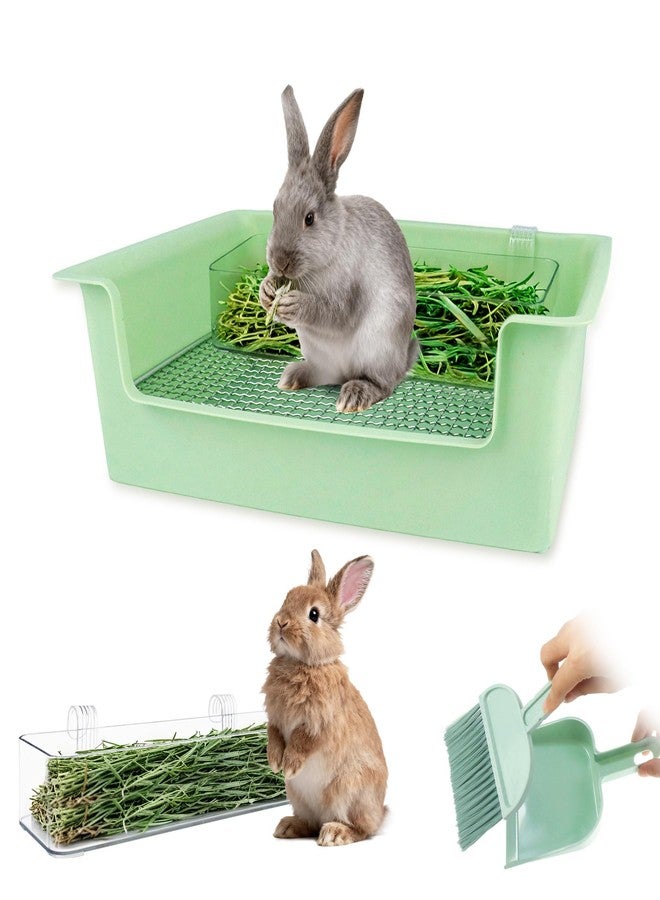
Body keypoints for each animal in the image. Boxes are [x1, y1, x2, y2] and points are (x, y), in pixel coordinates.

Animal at [259, 85, 418, 413]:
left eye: (309, 218)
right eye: (275, 209)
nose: (280, 262)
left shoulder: (347, 298)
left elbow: (333, 313)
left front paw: (293, 304)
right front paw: (267, 292)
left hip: (378, 348)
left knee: (383, 384)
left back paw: (354, 397)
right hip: (316, 352)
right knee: (323, 374)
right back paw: (292, 377)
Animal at [262, 549, 388, 846]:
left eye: (314, 614)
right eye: (286, 599)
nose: (281, 622)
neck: (301, 664)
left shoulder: (320, 723)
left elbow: (303, 741)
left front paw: (289, 765)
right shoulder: (274, 719)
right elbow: (274, 735)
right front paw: (274, 763)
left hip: (349, 790)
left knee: (362, 829)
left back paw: (334, 833)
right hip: (299, 798)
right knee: (309, 823)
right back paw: (287, 826)